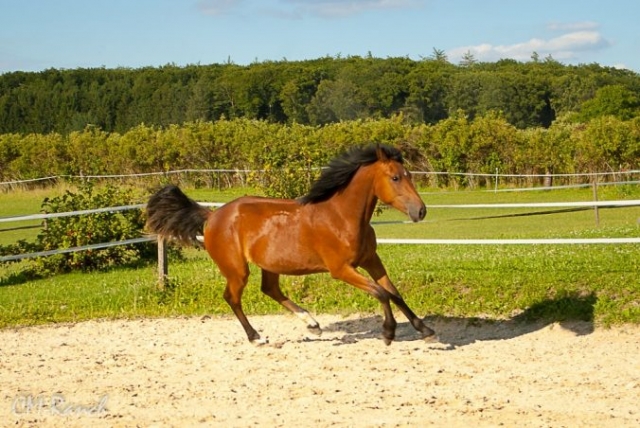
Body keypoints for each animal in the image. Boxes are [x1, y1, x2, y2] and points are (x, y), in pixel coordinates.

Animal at [145, 144, 436, 344]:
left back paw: (312, 324)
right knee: (232, 297)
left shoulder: (371, 260)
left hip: (270, 264)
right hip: (237, 269)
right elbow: (381, 293)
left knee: (270, 289)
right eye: (395, 178)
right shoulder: (341, 269)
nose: (421, 211)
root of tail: (212, 215)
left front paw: (426, 330)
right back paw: (257, 337)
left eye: (409, 174)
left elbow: (394, 292)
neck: (342, 217)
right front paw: (388, 333)